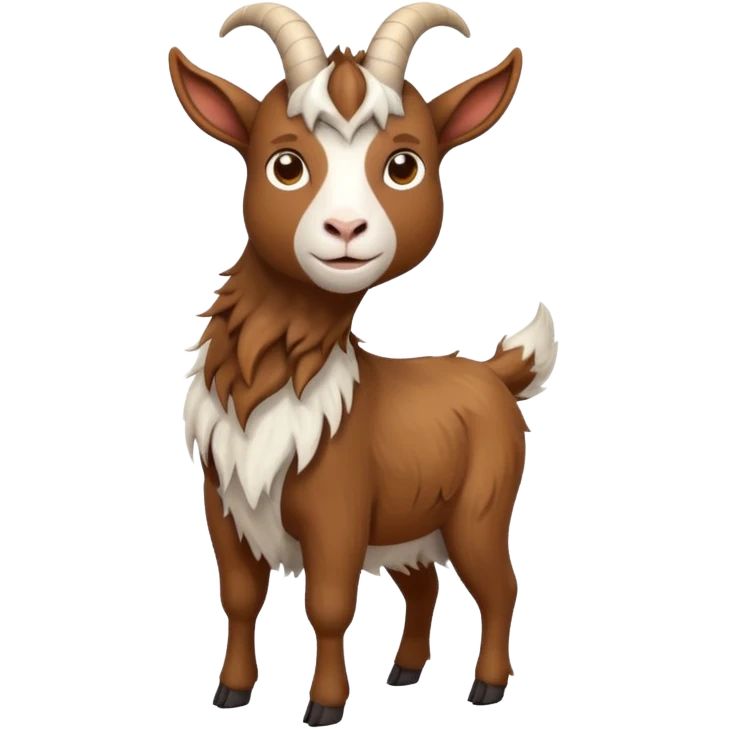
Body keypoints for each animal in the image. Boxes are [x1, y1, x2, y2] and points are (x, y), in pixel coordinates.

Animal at [170, 2, 552, 725]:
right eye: (285, 164)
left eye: (404, 164)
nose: (345, 229)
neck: (269, 385)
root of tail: (492, 372)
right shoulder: (223, 506)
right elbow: (238, 597)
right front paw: (230, 691)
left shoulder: (336, 509)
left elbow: (327, 605)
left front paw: (323, 705)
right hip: (410, 521)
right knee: (424, 583)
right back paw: (404, 670)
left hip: (479, 509)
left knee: (498, 585)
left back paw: (486, 687)